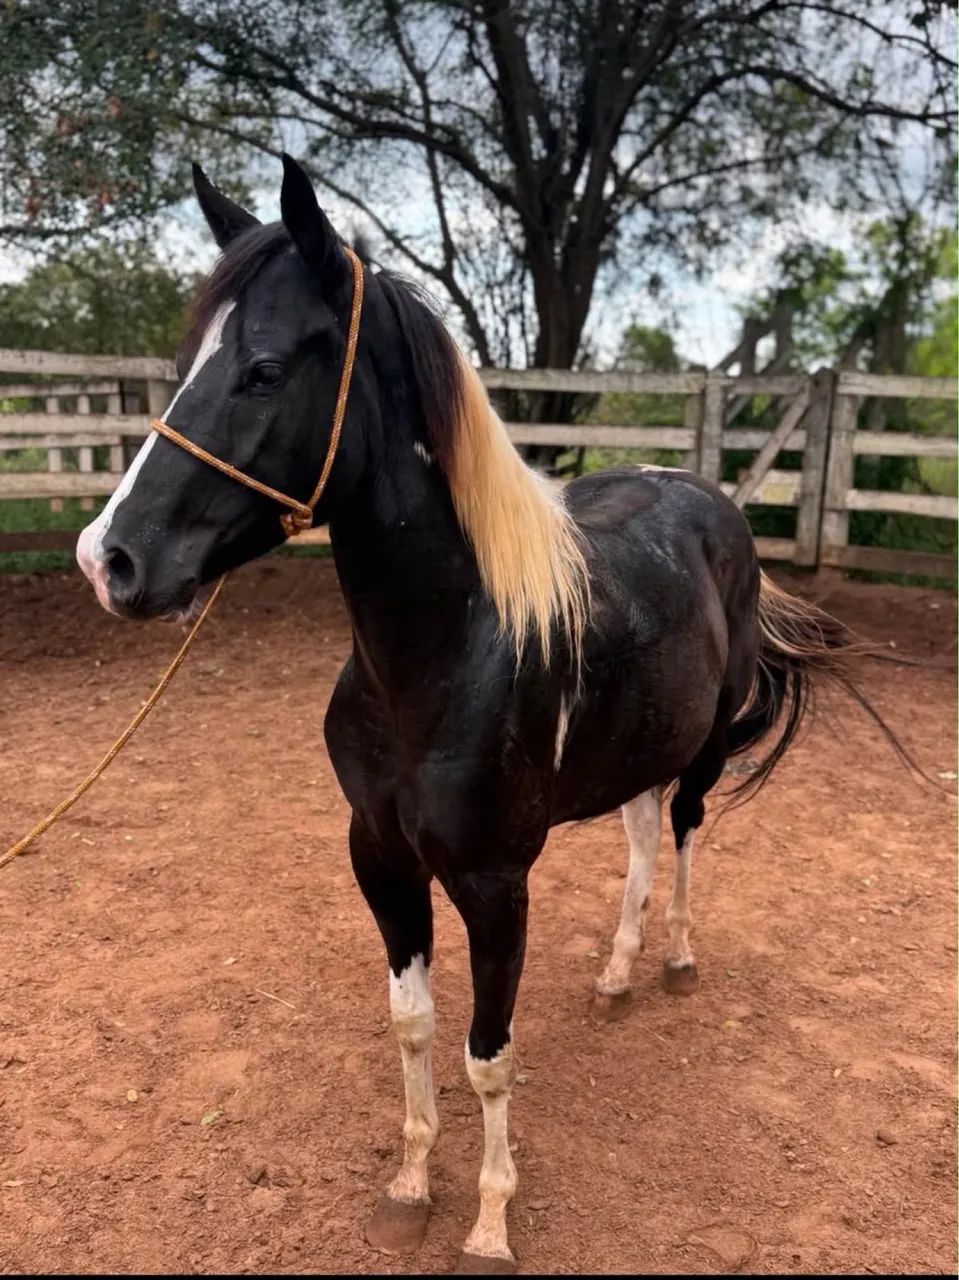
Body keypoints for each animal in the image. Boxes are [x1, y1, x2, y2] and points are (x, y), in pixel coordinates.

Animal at [76, 155, 861, 1273]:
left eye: (262, 369)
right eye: (186, 363)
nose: (109, 559)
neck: (444, 659)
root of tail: (709, 499)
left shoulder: (494, 885)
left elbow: (488, 1053)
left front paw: (489, 1221)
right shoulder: (379, 858)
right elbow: (412, 1025)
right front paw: (409, 1184)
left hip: (704, 750)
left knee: (682, 832)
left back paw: (672, 957)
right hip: (631, 753)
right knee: (637, 838)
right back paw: (616, 973)